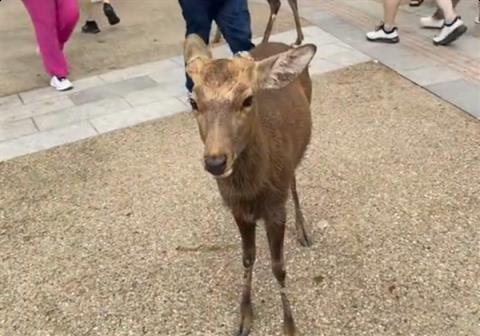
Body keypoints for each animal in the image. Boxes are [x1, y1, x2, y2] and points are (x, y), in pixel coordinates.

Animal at [183, 30, 316, 334]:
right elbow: (247, 257)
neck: (252, 191)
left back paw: (303, 230)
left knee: (294, 183)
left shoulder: (275, 208)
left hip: (296, 156)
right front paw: (244, 316)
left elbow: (279, 267)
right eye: (193, 102)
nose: (215, 161)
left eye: (247, 99)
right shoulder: (237, 210)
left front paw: (290, 325)